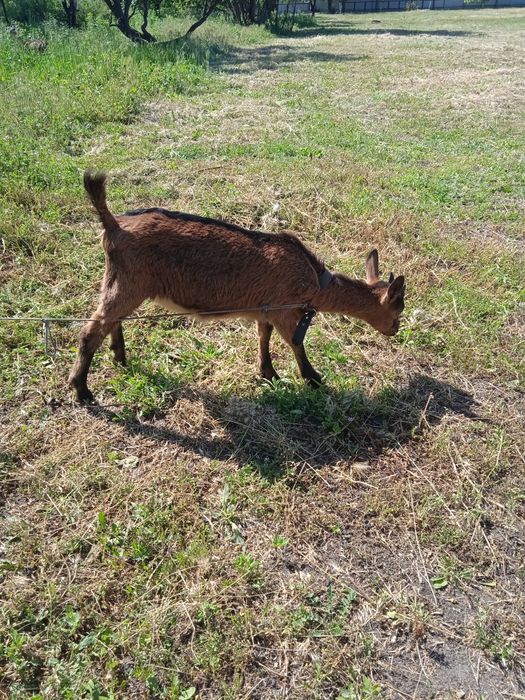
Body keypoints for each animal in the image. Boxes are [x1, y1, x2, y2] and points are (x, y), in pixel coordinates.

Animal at [69, 171, 406, 402]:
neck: (314, 280)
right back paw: (82, 389)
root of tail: (114, 225)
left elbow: (263, 337)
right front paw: (313, 379)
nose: (395, 330)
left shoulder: (265, 309)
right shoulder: (285, 312)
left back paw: (120, 358)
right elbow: (296, 344)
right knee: (91, 330)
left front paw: (268, 373)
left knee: (111, 320)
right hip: (131, 283)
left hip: (122, 282)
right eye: (398, 308)